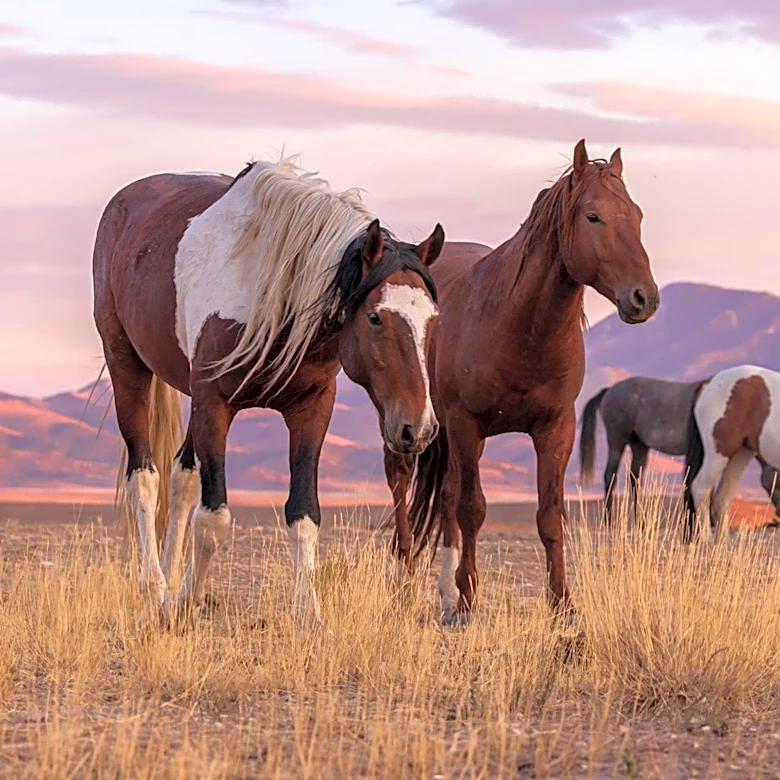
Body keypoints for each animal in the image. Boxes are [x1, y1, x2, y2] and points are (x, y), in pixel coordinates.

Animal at [92, 158, 445, 630]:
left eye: (433, 318)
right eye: (375, 317)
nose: (418, 429)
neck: (271, 292)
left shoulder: (311, 407)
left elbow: (304, 514)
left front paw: (309, 617)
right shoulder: (214, 403)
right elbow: (214, 518)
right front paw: (186, 606)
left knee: (181, 479)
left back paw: (168, 590)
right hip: (126, 365)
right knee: (145, 479)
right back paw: (155, 593)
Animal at [382, 139, 659, 625]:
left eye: (637, 215)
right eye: (594, 216)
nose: (645, 297)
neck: (519, 328)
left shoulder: (555, 428)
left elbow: (549, 516)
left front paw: (563, 606)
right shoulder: (468, 424)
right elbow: (472, 509)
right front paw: (469, 601)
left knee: (447, 493)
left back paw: (444, 593)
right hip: (409, 419)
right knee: (401, 480)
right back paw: (407, 581)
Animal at [579, 376, 780, 522]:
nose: (778, 514)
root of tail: (609, 390)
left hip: (639, 445)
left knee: (635, 479)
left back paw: (641, 522)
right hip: (617, 440)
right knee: (610, 476)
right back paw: (609, 521)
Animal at [684, 365, 780, 543]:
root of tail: (709, 381)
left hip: (741, 454)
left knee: (722, 498)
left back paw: (724, 543)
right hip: (718, 454)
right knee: (701, 488)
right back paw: (707, 540)